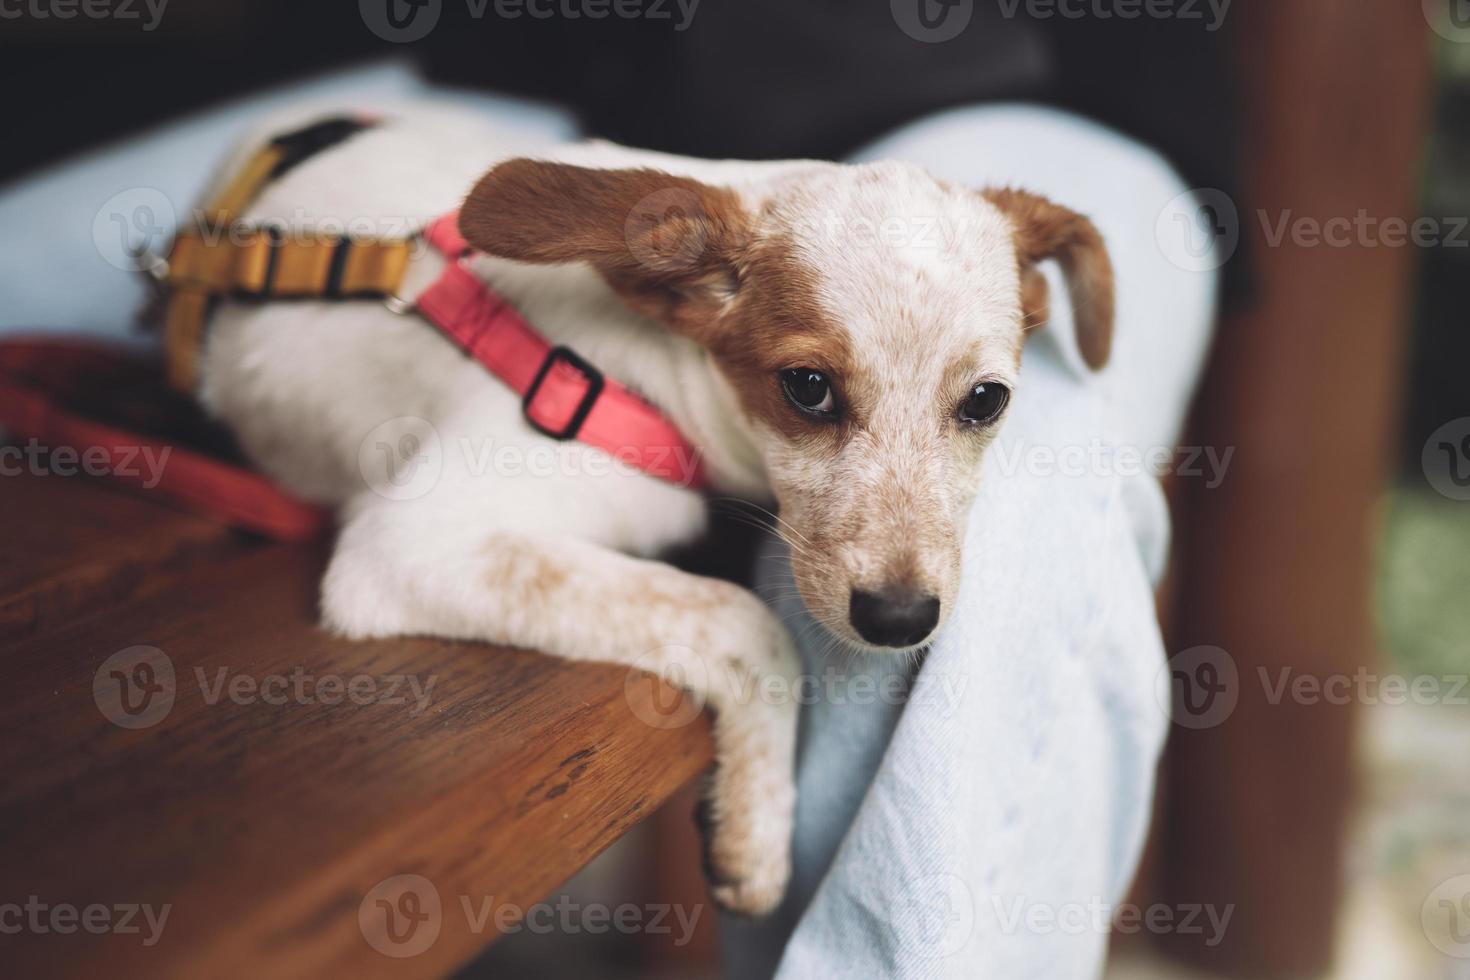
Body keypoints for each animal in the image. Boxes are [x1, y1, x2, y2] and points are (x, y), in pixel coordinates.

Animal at [198, 109, 1111, 922]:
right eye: (807, 388)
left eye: (986, 401)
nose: (899, 619)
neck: (653, 368)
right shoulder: (410, 546)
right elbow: (748, 623)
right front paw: (758, 825)